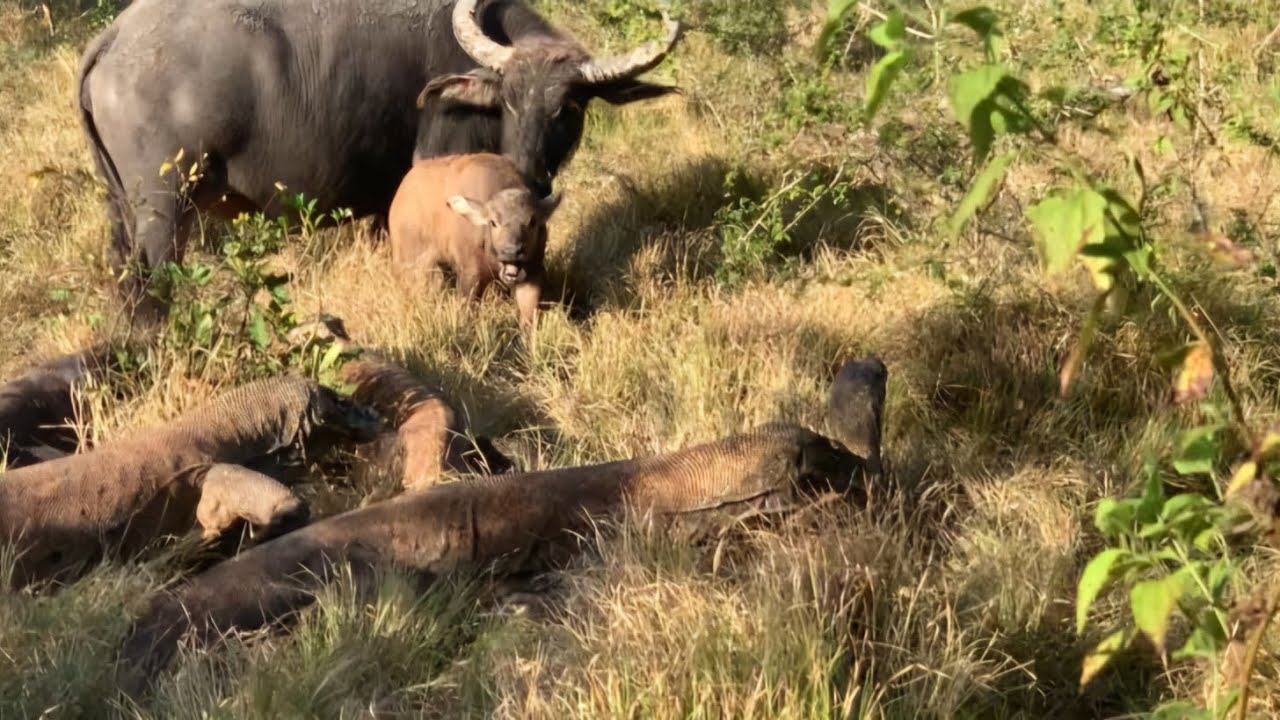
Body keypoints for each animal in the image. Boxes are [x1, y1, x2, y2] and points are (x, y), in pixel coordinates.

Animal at [75, 0, 681, 321]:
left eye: (569, 106)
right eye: (509, 97)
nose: (530, 172)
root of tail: (114, 38)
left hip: (117, 203)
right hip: (164, 206)